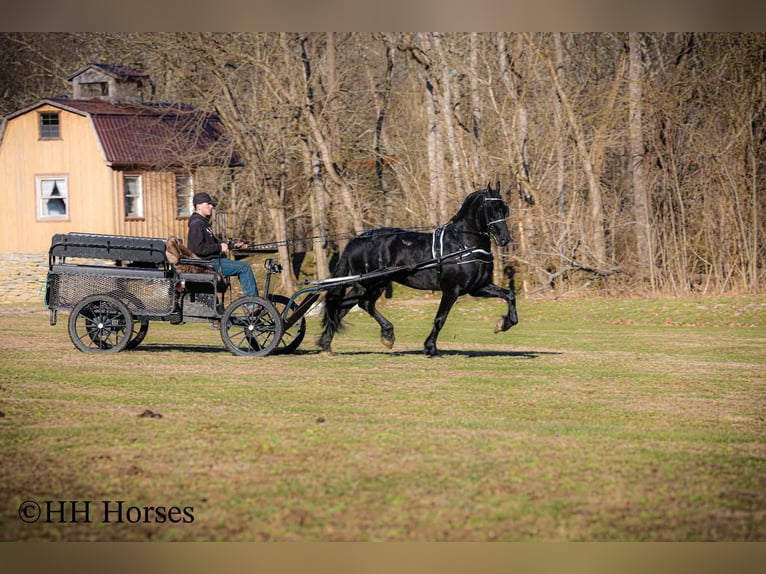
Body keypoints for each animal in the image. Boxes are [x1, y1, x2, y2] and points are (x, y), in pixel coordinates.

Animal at [318, 183, 518, 357]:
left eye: (504, 208)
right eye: (491, 209)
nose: (504, 239)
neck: (463, 245)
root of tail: (357, 240)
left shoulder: (478, 288)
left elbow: (509, 295)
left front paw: (503, 323)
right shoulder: (451, 290)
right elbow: (440, 319)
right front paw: (431, 348)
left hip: (372, 284)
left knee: (348, 306)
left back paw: (328, 344)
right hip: (371, 282)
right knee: (356, 304)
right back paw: (383, 335)